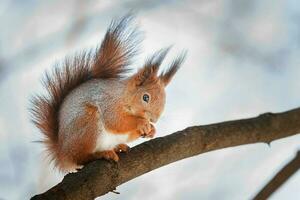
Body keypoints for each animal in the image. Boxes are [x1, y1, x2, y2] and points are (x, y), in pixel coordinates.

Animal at [29, 15, 185, 172]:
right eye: (145, 97)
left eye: (164, 101)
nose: (154, 119)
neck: (123, 95)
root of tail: (62, 153)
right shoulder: (108, 102)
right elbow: (116, 121)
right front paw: (141, 123)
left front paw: (152, 129)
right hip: (87, 122)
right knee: (81, 158)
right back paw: (101, 154)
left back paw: (118, 147)